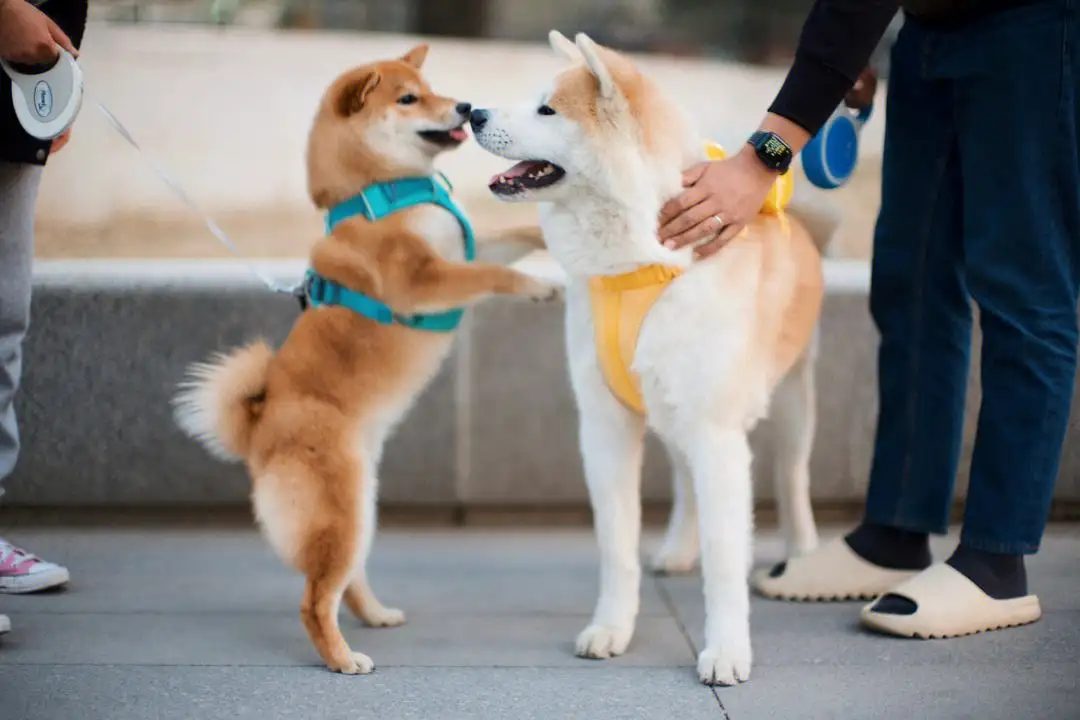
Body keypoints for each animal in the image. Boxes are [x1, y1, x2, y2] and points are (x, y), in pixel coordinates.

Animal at [470, 32, 833, 686]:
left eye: (547, 109)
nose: (472, 113)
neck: (641, 264)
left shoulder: (718, 435)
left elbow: (726, 560)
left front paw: (726, 650)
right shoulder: (606, 427)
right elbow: (617, 547)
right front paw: (613, 628)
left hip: (789, 403)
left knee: (791, 477)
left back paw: (801, 555)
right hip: (670, 412)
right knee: (687, 483)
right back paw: (678, 549)